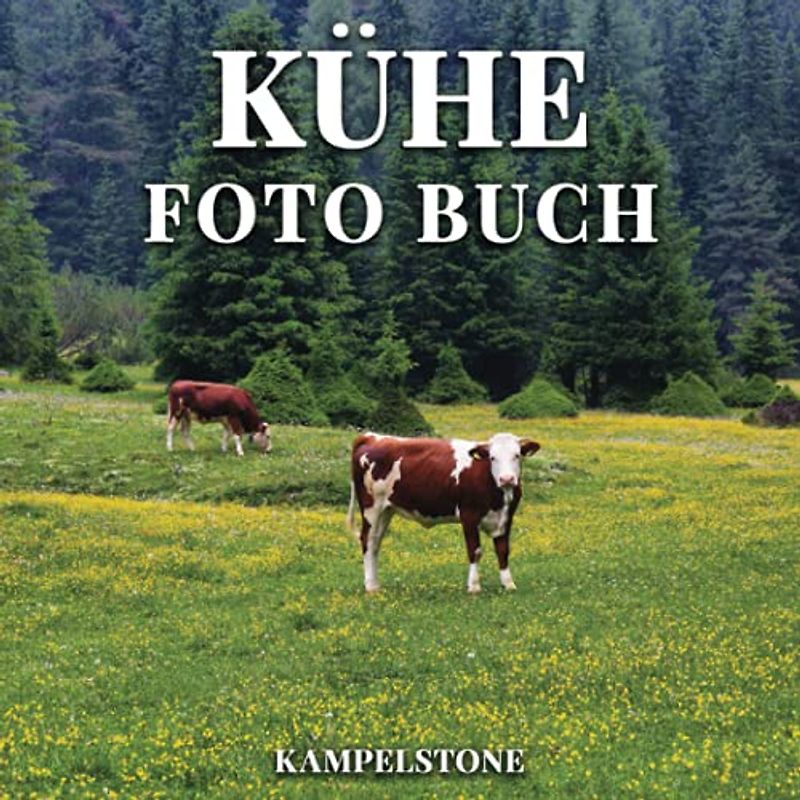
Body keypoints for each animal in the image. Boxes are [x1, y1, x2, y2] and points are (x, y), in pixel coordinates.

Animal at [347, 432, 541, 593]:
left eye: (517, 455)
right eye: (493, 458)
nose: (507, 478)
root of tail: (372, 436)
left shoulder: (506, 517)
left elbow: (503, 550)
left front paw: (508, 584)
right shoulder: (469, 515)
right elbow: (475, 550)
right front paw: (474, 586)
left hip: (386, 510)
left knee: (375, 543)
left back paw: (375, 584)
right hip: (372, 508)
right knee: (368, 541)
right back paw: (371, 587)